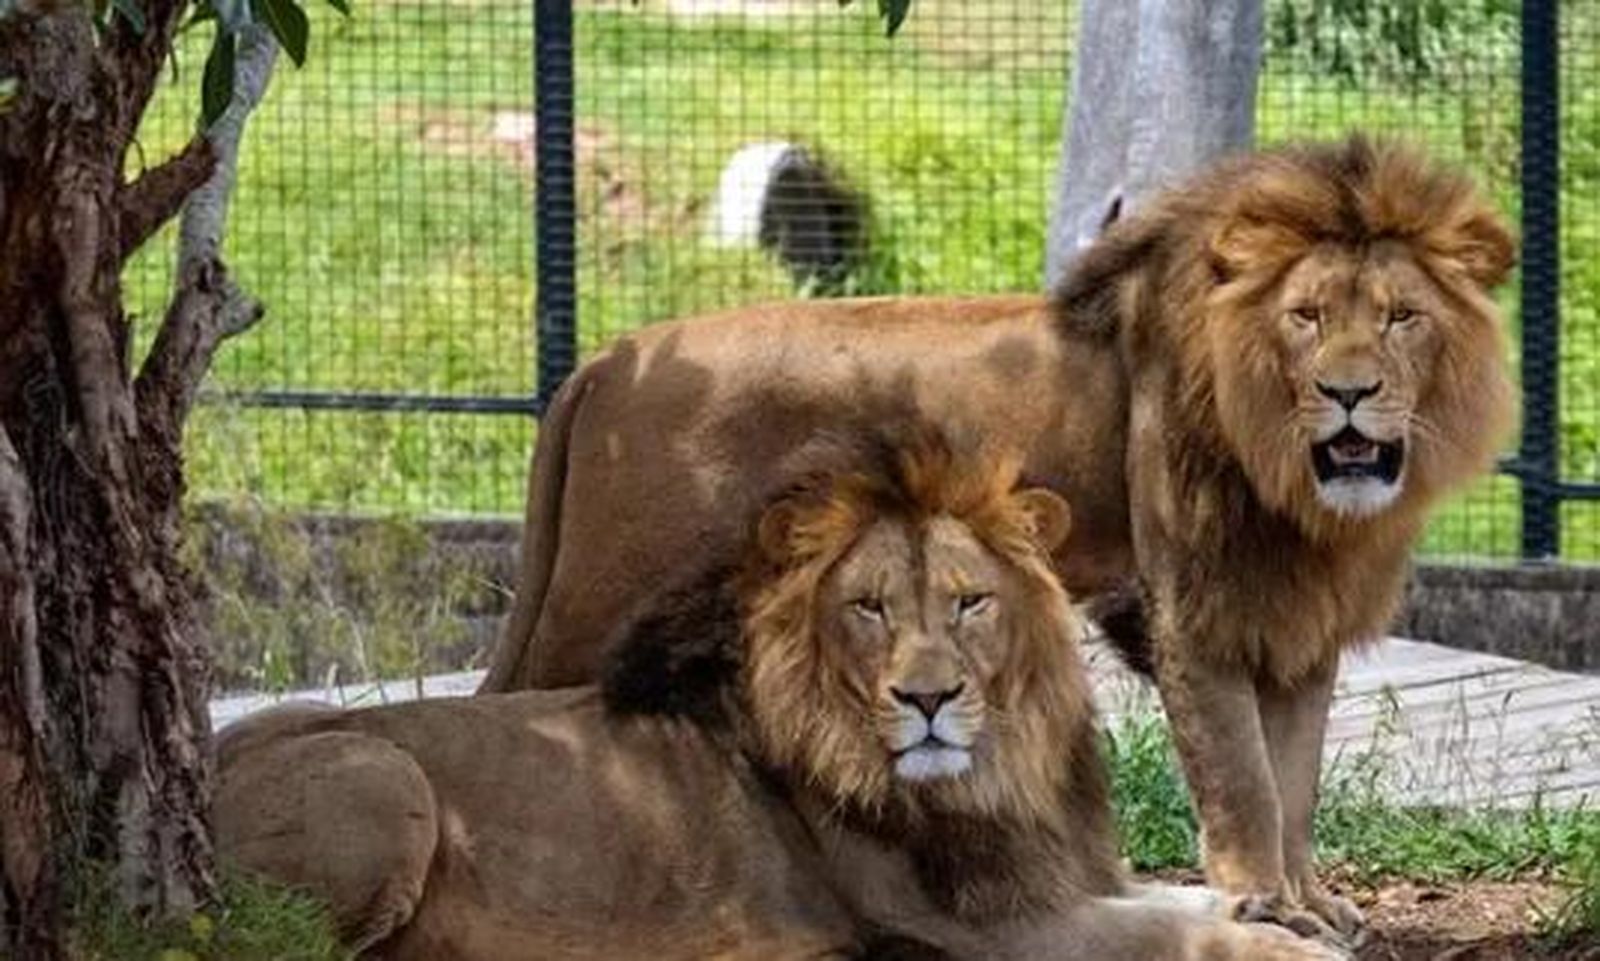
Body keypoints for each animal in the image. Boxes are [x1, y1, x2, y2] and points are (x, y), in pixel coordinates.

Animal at [216, 435, 1341, 961]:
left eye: (969, 602)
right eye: (869, 608)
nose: (928, 699)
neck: (993, 771)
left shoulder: (1044, 879)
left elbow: (1169, 898)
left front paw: (1274, 904)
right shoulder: (976, 932)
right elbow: (1172, 935)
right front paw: (1277, 935)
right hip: (384, 775)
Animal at [479, 138, 1516, 942]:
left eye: (1400, 316)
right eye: (1306, 317)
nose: (1349, 391)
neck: (1293, 480)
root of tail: (604, 364)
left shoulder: (1296, 621)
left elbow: (1295, 778)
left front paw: (1310, 901)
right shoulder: (1194, 610)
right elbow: (1245, 781)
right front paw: (1269, 905)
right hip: (599, 599)